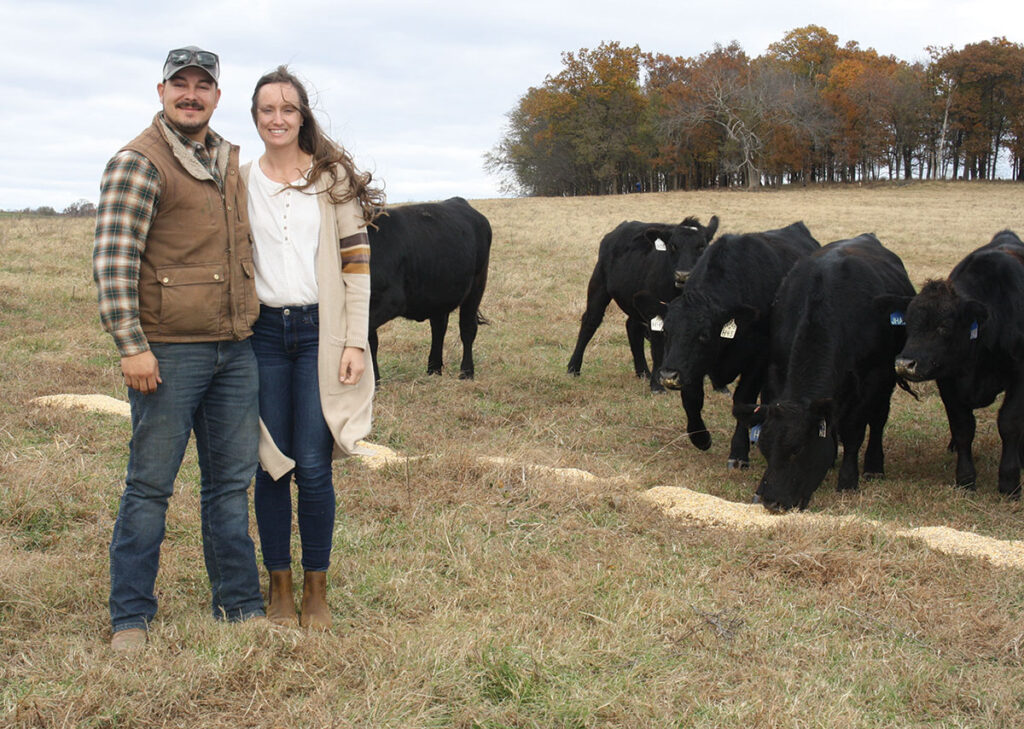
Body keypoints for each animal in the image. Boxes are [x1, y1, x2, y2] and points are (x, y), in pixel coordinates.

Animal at [368, 196, 491, 384]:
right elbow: (370, 341)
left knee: (467, 328)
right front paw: (375, 382)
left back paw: (466, 373)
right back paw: (433, 369)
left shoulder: (390, 300)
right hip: (439, 294)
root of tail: (458, 201)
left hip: (477, 285)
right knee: (439, 328)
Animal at [569, 215, 720, 391]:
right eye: (673, 246)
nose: (683, 275)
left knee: (633, 328)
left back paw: (643, 372)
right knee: (590, 322)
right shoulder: (656, 313)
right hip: (599, 285)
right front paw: (657, 386)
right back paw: (573, 368)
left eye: (701, 246)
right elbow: (658, 349)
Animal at [634, 221, 819, 466]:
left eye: (704, 335)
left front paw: (739, 452)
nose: (668, 375)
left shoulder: (758, 359)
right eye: (665, 331)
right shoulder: (693, 365)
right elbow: (692, 399)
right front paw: (701, 437)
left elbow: (743, 401)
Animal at [741, 236, 917, 509]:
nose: (770, 500)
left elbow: (854, 431)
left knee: (878, 421)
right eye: (765, 448)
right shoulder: (777, 371)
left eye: (797, 449)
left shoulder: (871, 380)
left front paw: (848, 481)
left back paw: (874, 467)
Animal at [888, 230, 1024, 497]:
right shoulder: (948, 382)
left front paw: (1009, 482)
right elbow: (962, 428)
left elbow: (1009, 423)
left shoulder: (1020, 376)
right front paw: (965, 479)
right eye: (908, 323)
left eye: (944, 326)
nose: (904, 363)